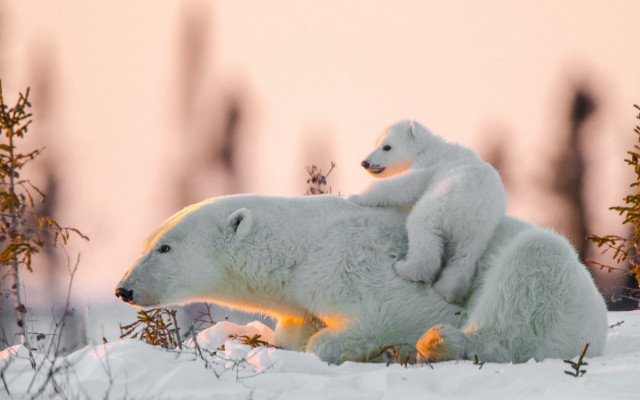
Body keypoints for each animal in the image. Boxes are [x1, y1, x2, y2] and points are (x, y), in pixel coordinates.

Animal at [116, 194, 607, 364]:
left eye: (165, 248)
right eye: (147, 241)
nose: (124, 289)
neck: (303, 244)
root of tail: (600, 322)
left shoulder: (355, 263)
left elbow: (390, 313)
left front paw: (359, 347)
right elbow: (296, 329)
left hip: (549, 277)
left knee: (522, 290)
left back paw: (441, 342)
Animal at [348, 119, 507, 304]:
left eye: (387, 147)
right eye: (376, 143)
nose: (365, 162)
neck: (429, 147)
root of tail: (473, 211)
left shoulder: (430, 165)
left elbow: (405, 185)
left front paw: (356, 197)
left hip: (440, 203)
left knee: (422, 230)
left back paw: (406, 268)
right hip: (479, 233)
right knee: (463, 258)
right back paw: (447, 289)